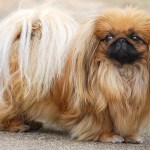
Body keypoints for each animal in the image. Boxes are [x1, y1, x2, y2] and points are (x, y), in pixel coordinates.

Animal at [0, 5, 150, 144]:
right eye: (108, 37)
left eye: (135, 37)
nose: (121, 40)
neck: (123, 72)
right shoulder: (98, 107)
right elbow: (102, 123)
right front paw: (108, 136)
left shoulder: (130, 107)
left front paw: (130, 137)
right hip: (11, 97)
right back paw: (16, 126)